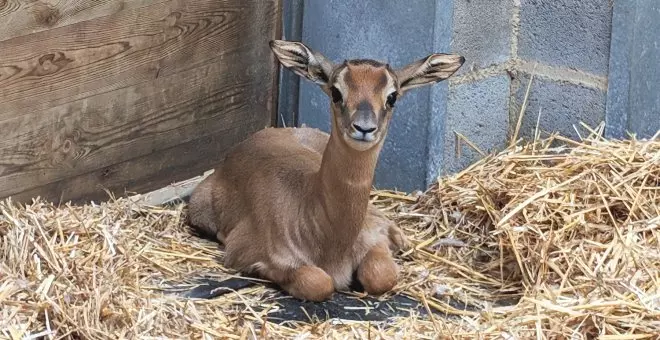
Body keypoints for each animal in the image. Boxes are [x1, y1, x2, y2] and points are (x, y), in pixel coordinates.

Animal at [186, 38, 464, 302]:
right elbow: (319, 282)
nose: (364, 128)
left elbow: (381, 276)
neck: (329, 238)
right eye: (336, 92)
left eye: (392, 96)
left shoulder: (372, 242)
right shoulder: (248, 253)